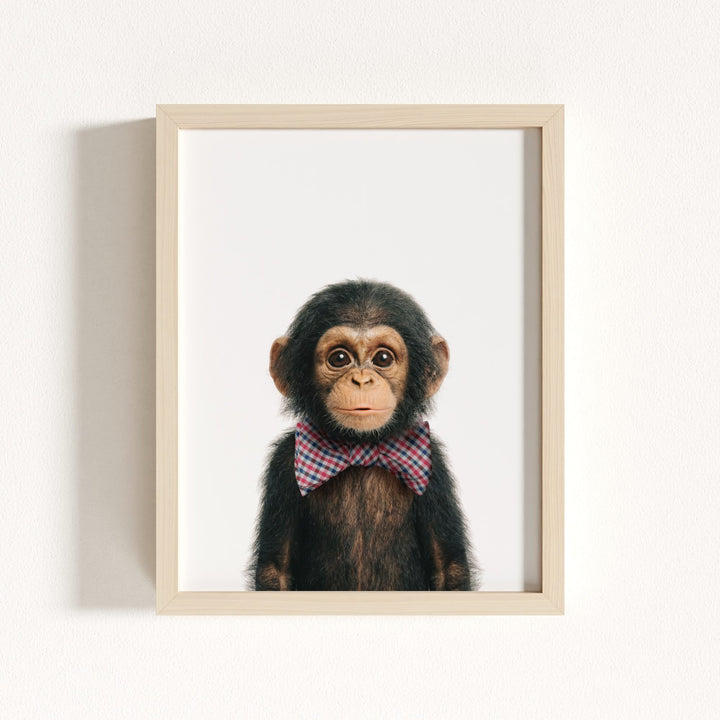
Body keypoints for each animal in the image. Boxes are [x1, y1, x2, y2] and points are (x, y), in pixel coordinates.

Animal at [249, 279, 477, 591]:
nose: (361, 379)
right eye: (339, 358)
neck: (361, 448)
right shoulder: (284, 462)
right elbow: (275, 570)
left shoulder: (433, 466)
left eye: (383, 358)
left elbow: (449, 569)